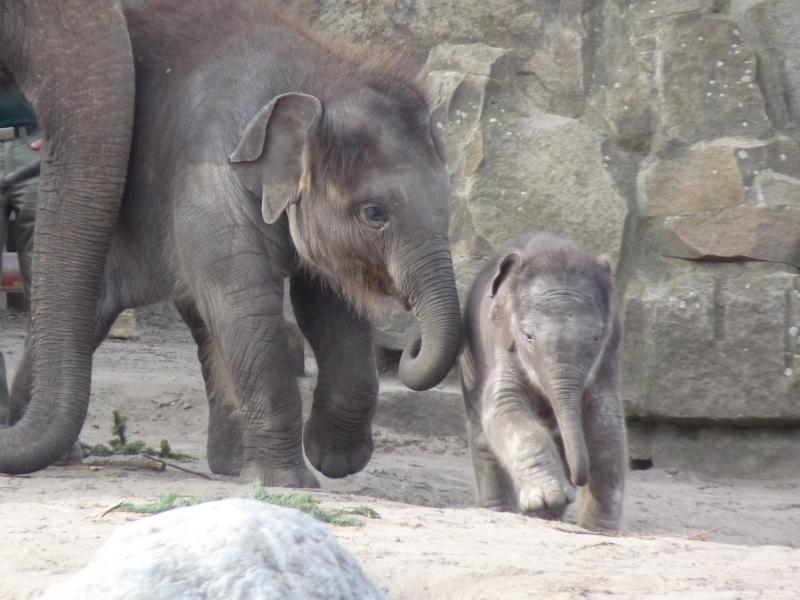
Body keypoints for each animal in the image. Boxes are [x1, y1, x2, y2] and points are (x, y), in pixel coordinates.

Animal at [0, 0, 462, 488]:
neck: (317, 75)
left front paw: (333, 458)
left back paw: (227, 465)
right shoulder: (209, 174)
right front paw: (289, 482)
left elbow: (328, 304)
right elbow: (246, 305)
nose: (409, 346)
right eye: (375, 213)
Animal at [459, 232, 626, 531]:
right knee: (481, 432)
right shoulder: (502, 343)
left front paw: (599, 528)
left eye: (597, 338)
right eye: (528, 336)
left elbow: (605, 424)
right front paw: (546, 499)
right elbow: (505, 406)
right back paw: (501, 511)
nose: (576, 483)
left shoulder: (608, 357)